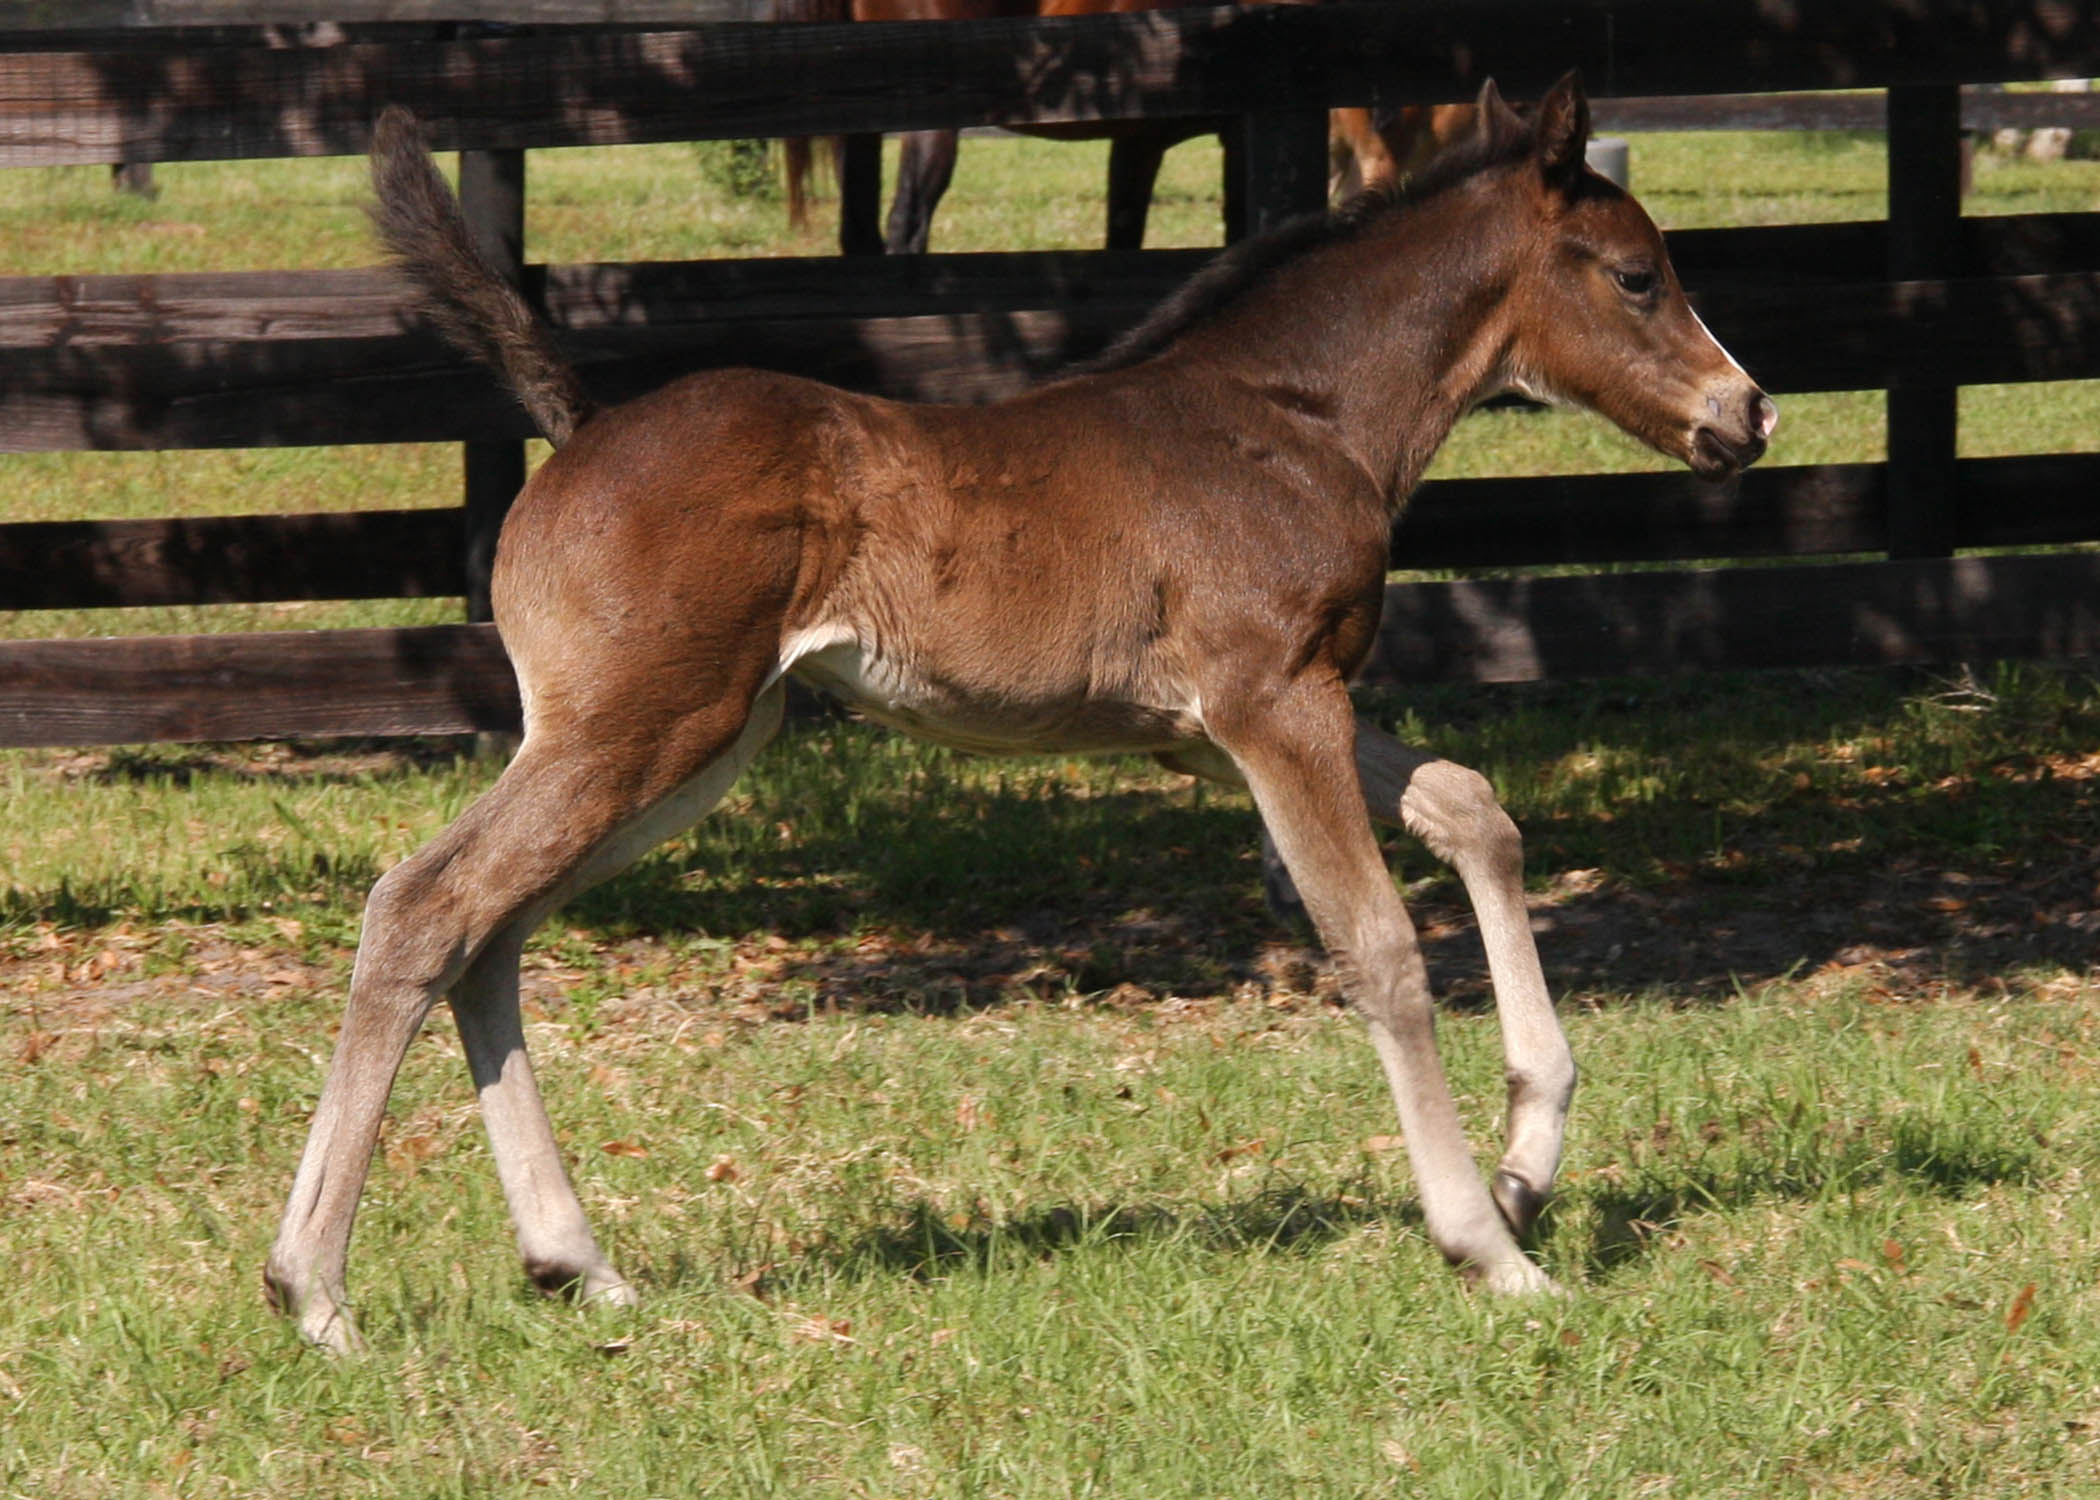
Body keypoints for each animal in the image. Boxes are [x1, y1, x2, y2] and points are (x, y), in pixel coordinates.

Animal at [262, 76, 1772, 1352]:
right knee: (425, 907)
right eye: (1638, 276)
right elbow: (1380, 946)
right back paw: (316, 1291)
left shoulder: (1230, 722)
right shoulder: (1271, 704)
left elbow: (1474, 809)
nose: (1748, 413)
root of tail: (577, 432)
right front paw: (1488, 1245)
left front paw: (1529, 1164)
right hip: (631, 735)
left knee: (492, 935)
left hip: (690, 751)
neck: (1298, 418)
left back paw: (574, 1261)